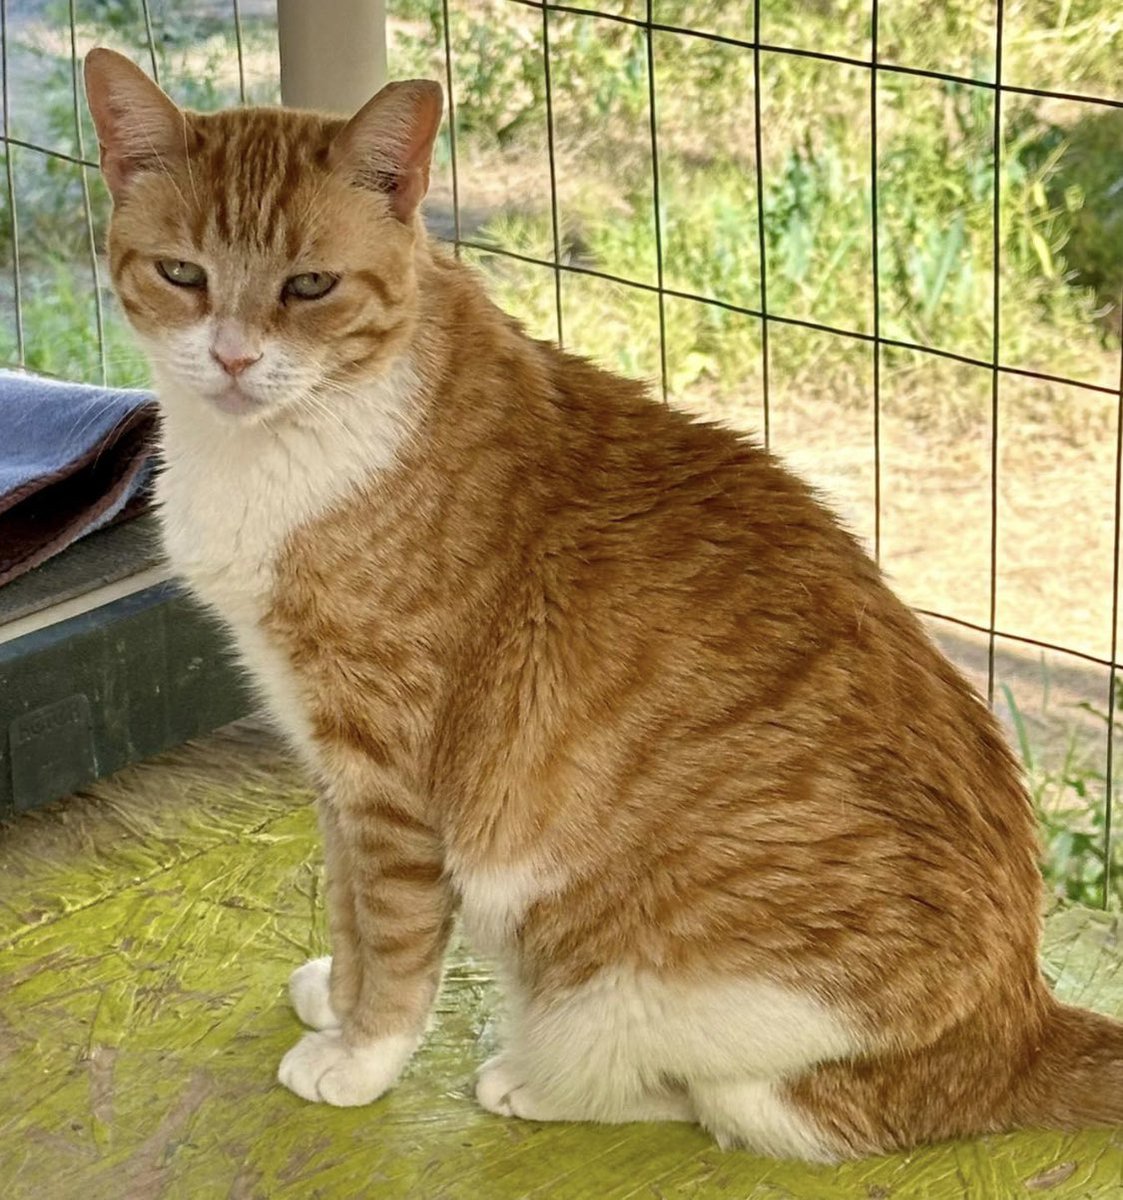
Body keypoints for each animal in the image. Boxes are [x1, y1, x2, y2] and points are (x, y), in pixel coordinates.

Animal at [83, 49, 1118, 1161]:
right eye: (182, 274)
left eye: (308, 285)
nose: (233, 356)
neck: (275, 447)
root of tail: (1021, 1021)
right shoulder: (327, 758)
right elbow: (353, 913)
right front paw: (339, 999)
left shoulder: (390, 774)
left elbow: (396, 935)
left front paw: (362, 1058)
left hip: (638, 993)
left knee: (730, 1103)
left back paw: (529, 1083)